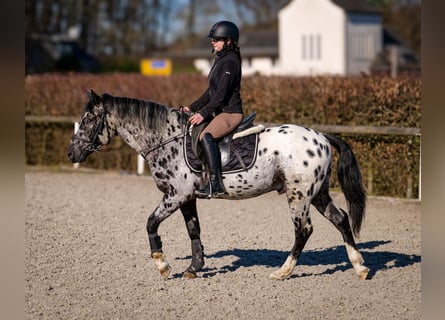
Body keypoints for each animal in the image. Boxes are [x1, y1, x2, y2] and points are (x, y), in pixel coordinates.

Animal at [67, 90, 368, 280]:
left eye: (89, 119)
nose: (71, 154)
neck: (165, 138)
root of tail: (322, 136)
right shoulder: (187, 198)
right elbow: (193, 230)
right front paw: (194, 267)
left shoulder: (176, 195)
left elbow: (151, 223)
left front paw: (163, 265)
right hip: (317, 193)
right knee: (341, 219)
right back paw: (360, 267)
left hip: (299, 194)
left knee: (303, 230)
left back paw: (283, 272)